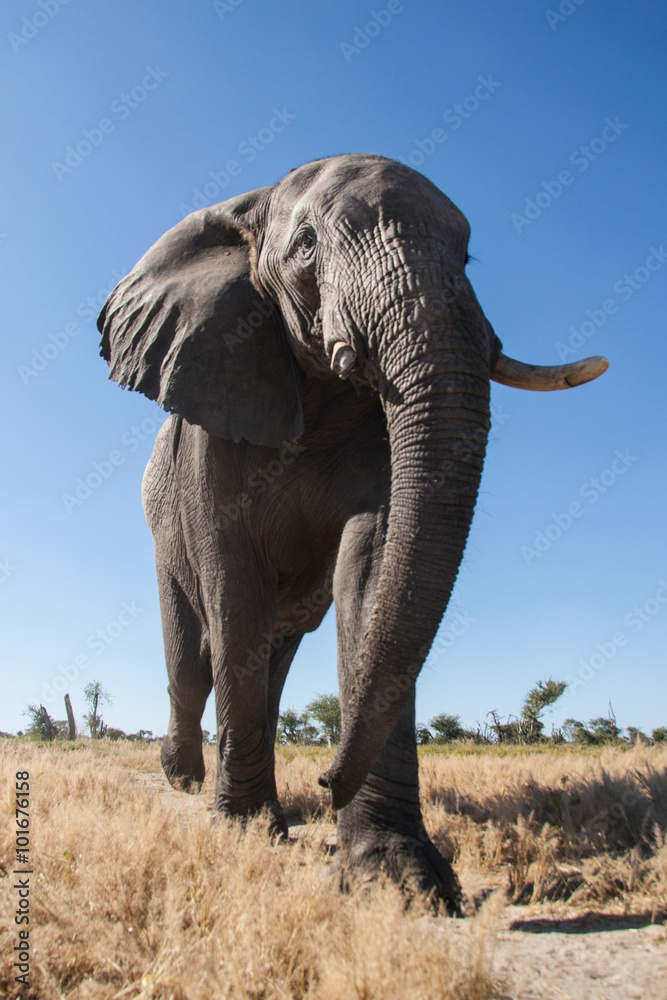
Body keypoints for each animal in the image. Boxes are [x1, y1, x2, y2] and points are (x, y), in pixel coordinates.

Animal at [98, 154, 607, 908]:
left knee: (272, 660)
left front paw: (399, 880)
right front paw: (244, 833)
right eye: (306, 244)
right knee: (193, 658)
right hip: (160, 526)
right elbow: (234, 588)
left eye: (466, 256)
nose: (326, 775)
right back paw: (185, 780)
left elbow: (375, 568)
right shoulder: (213, 419)